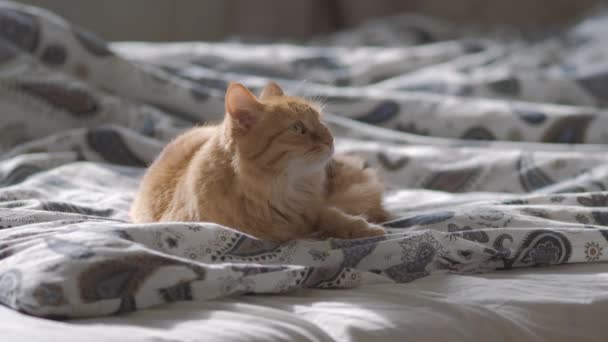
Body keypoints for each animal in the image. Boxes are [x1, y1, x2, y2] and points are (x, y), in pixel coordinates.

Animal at [132, 82, 390, 243]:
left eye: (320, 122)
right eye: (298, 128)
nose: (331, 138)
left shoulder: (314, 208)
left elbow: (331, 215)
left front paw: (366, 228)